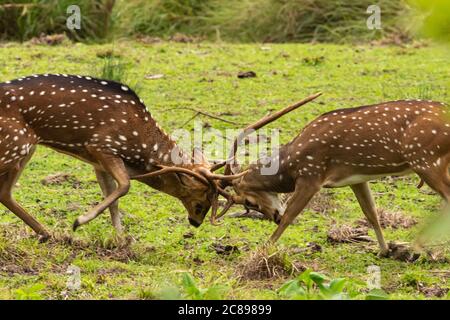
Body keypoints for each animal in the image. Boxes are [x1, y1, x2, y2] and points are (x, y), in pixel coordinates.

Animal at [0, 74, 256, 240]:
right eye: (201, 202)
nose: (196, 222)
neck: (139, 147)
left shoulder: (97, 161)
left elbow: (112, 196)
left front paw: (122, 240)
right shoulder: (103, 145)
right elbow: (124, 185)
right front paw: (79, 221)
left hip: (25, 148)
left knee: (6, 193)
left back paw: (47, 233)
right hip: (16, 144)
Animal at [214, 99, 450, 256]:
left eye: (249, 202)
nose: (274, 217)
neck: (291, 162)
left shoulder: (311, 175)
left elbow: (291, 214)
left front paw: (264, 248)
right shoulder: (357, 178)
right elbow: (371, 213)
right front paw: (384, 250)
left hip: (425, 159)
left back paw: (415, 249)